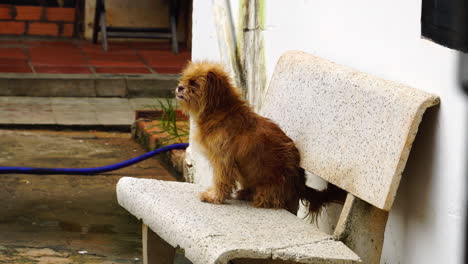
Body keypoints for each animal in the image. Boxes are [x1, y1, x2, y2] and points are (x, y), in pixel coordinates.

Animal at [176, 62, 344, 217]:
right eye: (184, 79)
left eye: (194, 83)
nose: (179, 87)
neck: (220, 112)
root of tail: (299, 184)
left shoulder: (223, 161)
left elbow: (221, 180)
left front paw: (215, 197)